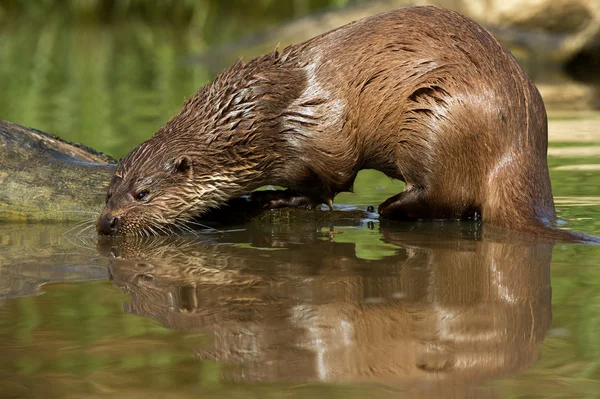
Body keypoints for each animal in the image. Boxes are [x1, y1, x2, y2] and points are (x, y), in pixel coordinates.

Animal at [96, 6, 568, 239]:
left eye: (142, 194)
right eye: (108, 193)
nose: (107, 223)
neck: (262, 115)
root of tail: (521, 145)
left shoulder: (322, 134)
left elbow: (329, 181)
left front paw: (277, 198)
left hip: (439, 120)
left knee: (446, 198)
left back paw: (387, 208)